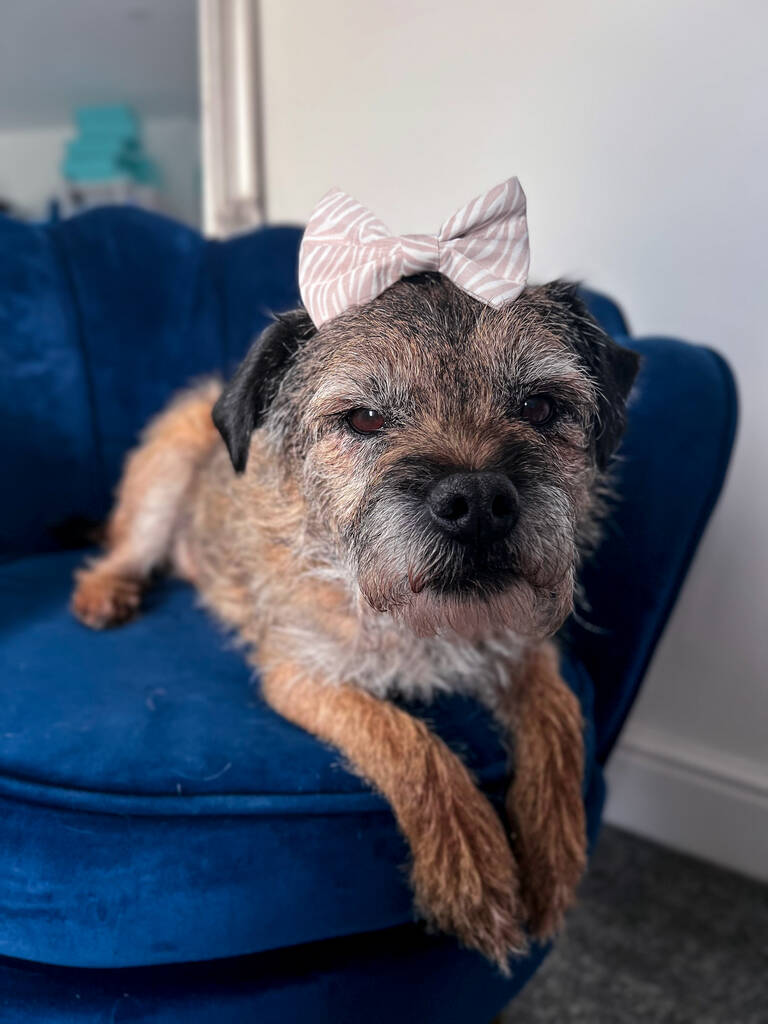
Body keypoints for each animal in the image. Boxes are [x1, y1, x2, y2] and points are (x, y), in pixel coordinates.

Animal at [72, 270, 638, 966]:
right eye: (364, 419)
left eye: (539, 407)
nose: (478, 501)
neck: (420, 619)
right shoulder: (300, 675)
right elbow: (407, 744)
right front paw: (472, 873)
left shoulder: (523, 651)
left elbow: (560, 722)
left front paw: (554, 860)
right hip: (163, 474)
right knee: (125, 549)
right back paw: (105, 593)